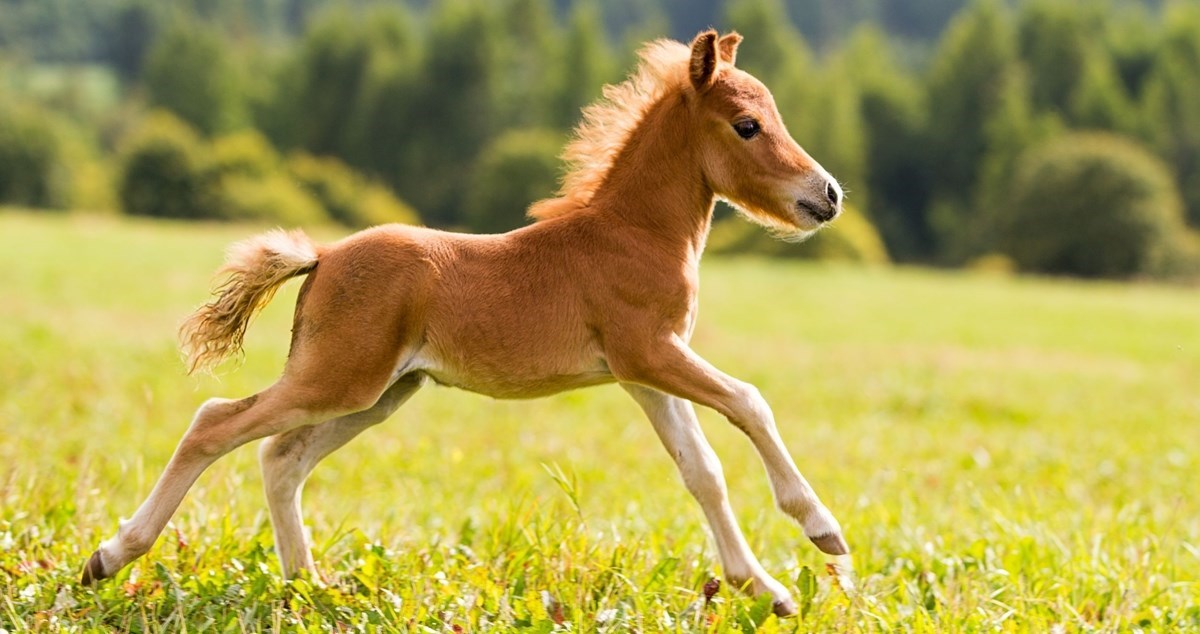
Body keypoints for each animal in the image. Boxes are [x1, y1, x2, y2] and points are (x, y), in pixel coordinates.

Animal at [82, 29, 844, 614]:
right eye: (747, 125)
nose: (828, 194)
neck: (631, 233)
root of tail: (323, 257)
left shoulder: (642, 373)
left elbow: (701, 470)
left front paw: (768, 590)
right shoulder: (650, 352)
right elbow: (750, 402)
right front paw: (823, 533)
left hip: (381, 392)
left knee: (281, 457)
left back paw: (308, 588)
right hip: (340, 378)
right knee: (215, 422)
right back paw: (110, 557)